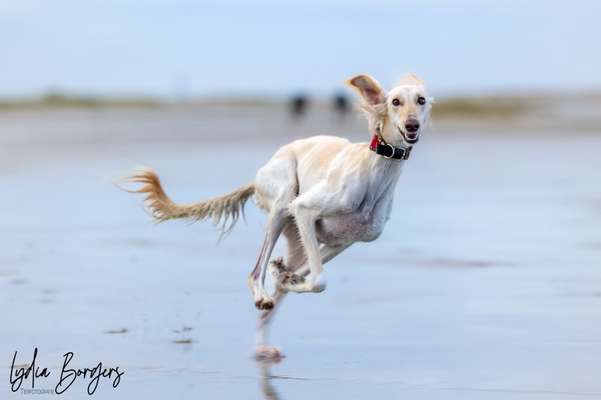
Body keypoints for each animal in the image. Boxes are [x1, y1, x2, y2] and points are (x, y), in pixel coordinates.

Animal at [125, 74, 432, 360]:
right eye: (395, 102)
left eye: (421, 100)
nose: (412, 126)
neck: (374, 171)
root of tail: (259, 174)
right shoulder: (304, 209)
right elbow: (319, 280)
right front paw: (284, 278)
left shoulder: (342, 241)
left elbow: (308, 276)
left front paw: (286, 277)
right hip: (284, 199)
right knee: (255, 272)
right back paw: (263, 294)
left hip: (296, 239)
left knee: (279, 287)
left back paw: (267, 331)